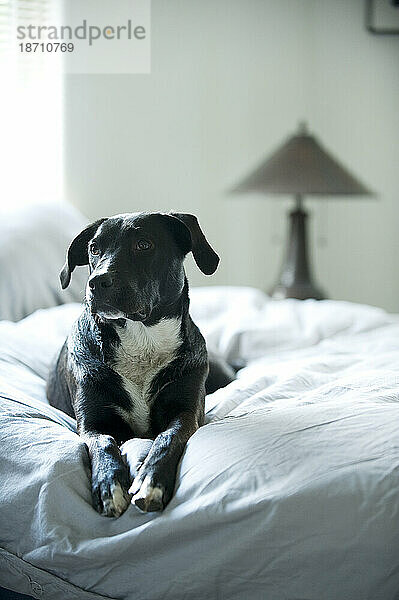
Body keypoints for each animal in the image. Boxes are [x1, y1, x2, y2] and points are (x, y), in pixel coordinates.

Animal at [47, 214, 234, 516]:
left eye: (144, 244)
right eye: (94, 249)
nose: (96, 282)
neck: (141, 341)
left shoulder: (186, 414)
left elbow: (167, 439)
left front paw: (151, 482)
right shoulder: (92, 424)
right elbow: (103, 443)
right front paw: (109, 486)